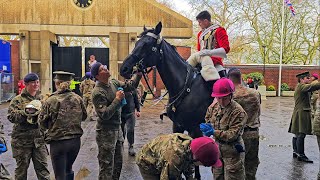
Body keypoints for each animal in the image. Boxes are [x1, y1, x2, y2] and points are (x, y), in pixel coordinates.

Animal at [120, 22, 212, 179]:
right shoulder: (178, 126)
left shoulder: (195, 128)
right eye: (136, 43)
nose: (124, 68)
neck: (185, 86)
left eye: (147, 45)